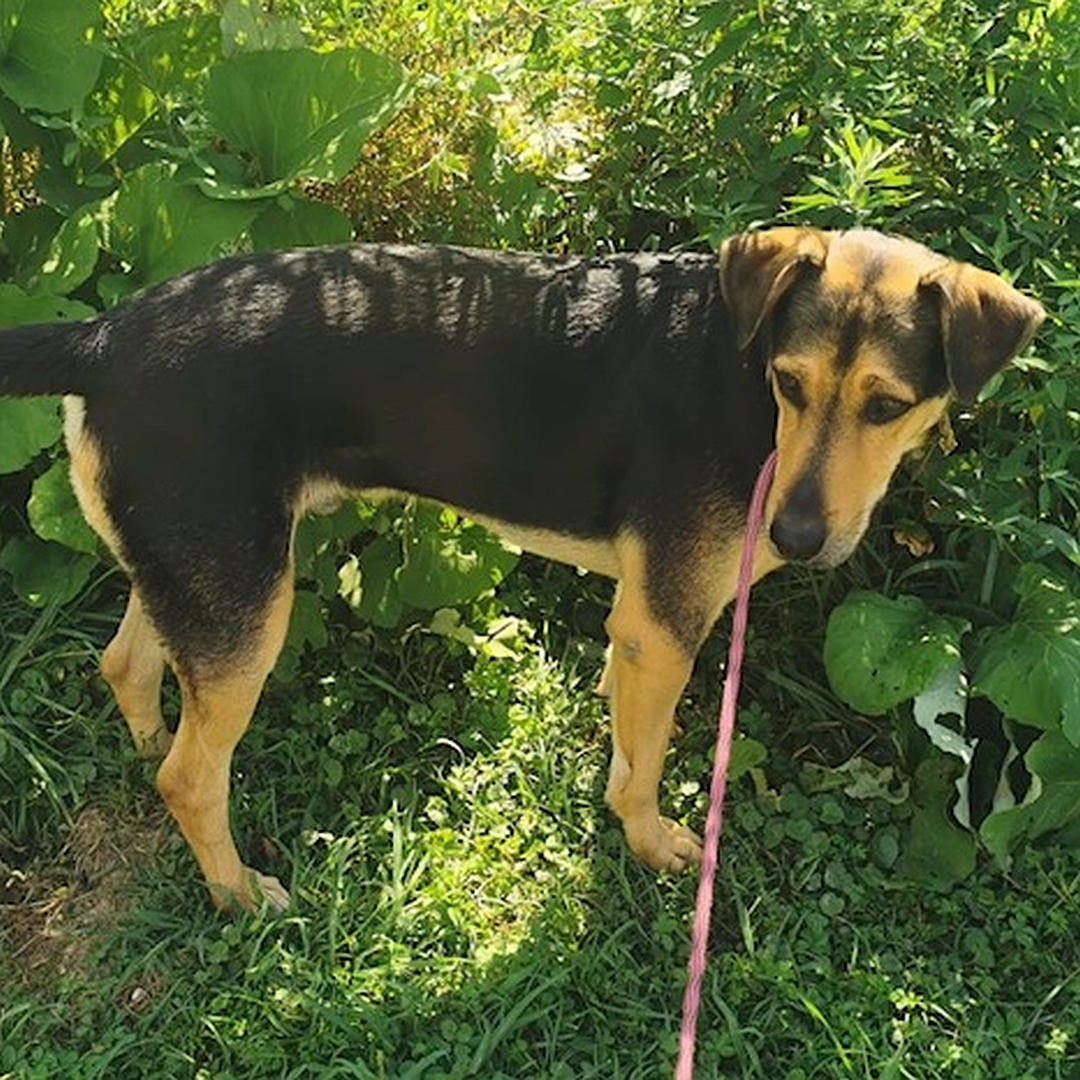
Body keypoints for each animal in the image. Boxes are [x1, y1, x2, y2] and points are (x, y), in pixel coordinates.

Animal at [0, 227, 1045, 911]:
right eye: (790, 384)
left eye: (886, 406)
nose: (792, 536)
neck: (741, 371)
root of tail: (105, 337)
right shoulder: (668, 623)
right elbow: (643, 770)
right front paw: (651, 844)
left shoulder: (638, 623)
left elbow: (624, 734)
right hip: (248, 602)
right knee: (190, 775)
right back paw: (237, 893)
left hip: (200, 568)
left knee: (131, 671)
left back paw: (144, 750)